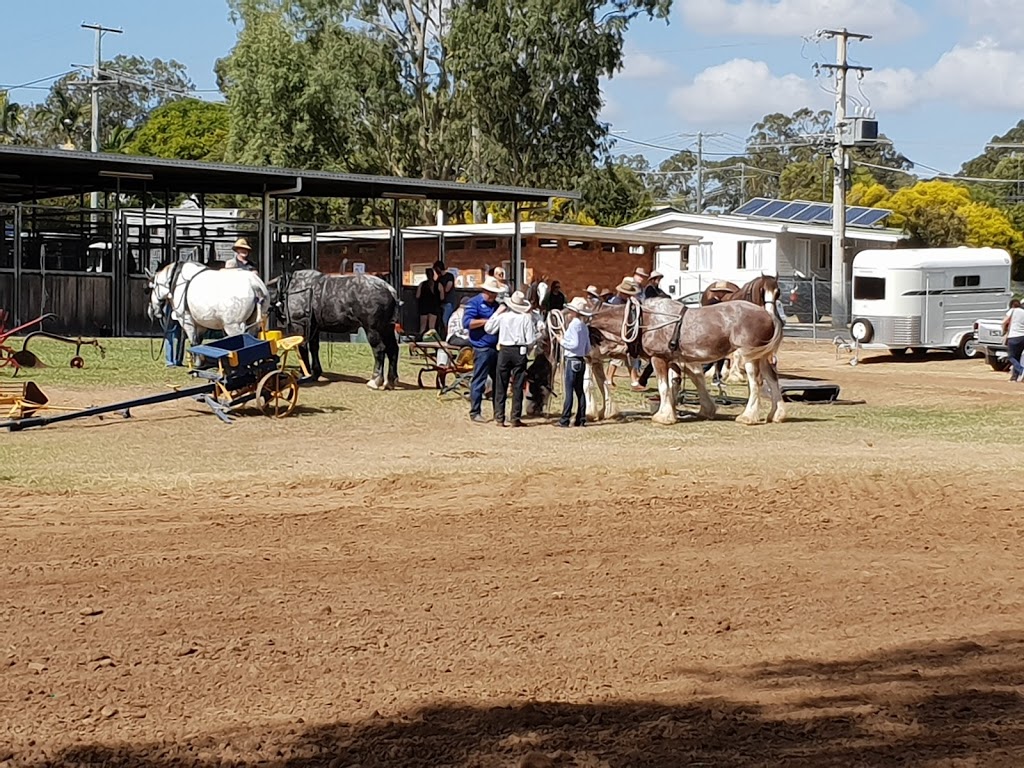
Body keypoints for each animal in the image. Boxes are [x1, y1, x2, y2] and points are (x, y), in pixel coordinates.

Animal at [268, 270, 399, 391]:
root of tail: (388, 289)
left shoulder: (300, 325)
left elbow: (301, 348)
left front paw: (303, 374)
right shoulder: (314, 328)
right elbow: (314, 348)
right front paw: (315, 373)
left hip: (373, 329)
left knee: (379, 349)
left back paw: (375, 380)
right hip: (387, 328)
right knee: (393, 349)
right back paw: (391, 381)